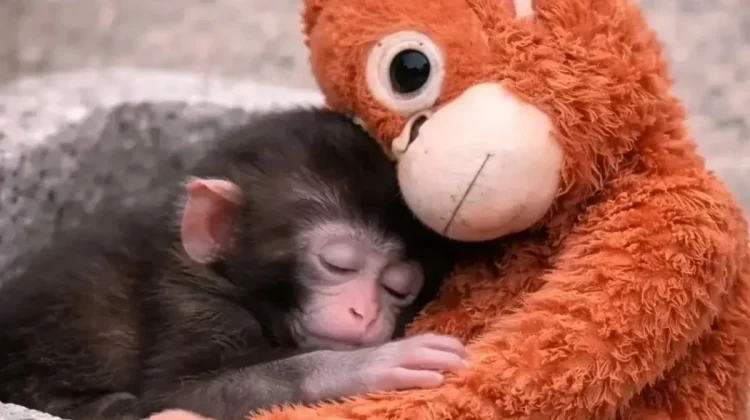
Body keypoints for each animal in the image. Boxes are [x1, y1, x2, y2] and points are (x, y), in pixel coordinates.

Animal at [0, 108, 468, 420]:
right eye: (337, 265)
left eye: (397, 288)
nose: (363, 312)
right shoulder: (189, 304)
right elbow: (180, 393)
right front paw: (369, 365)